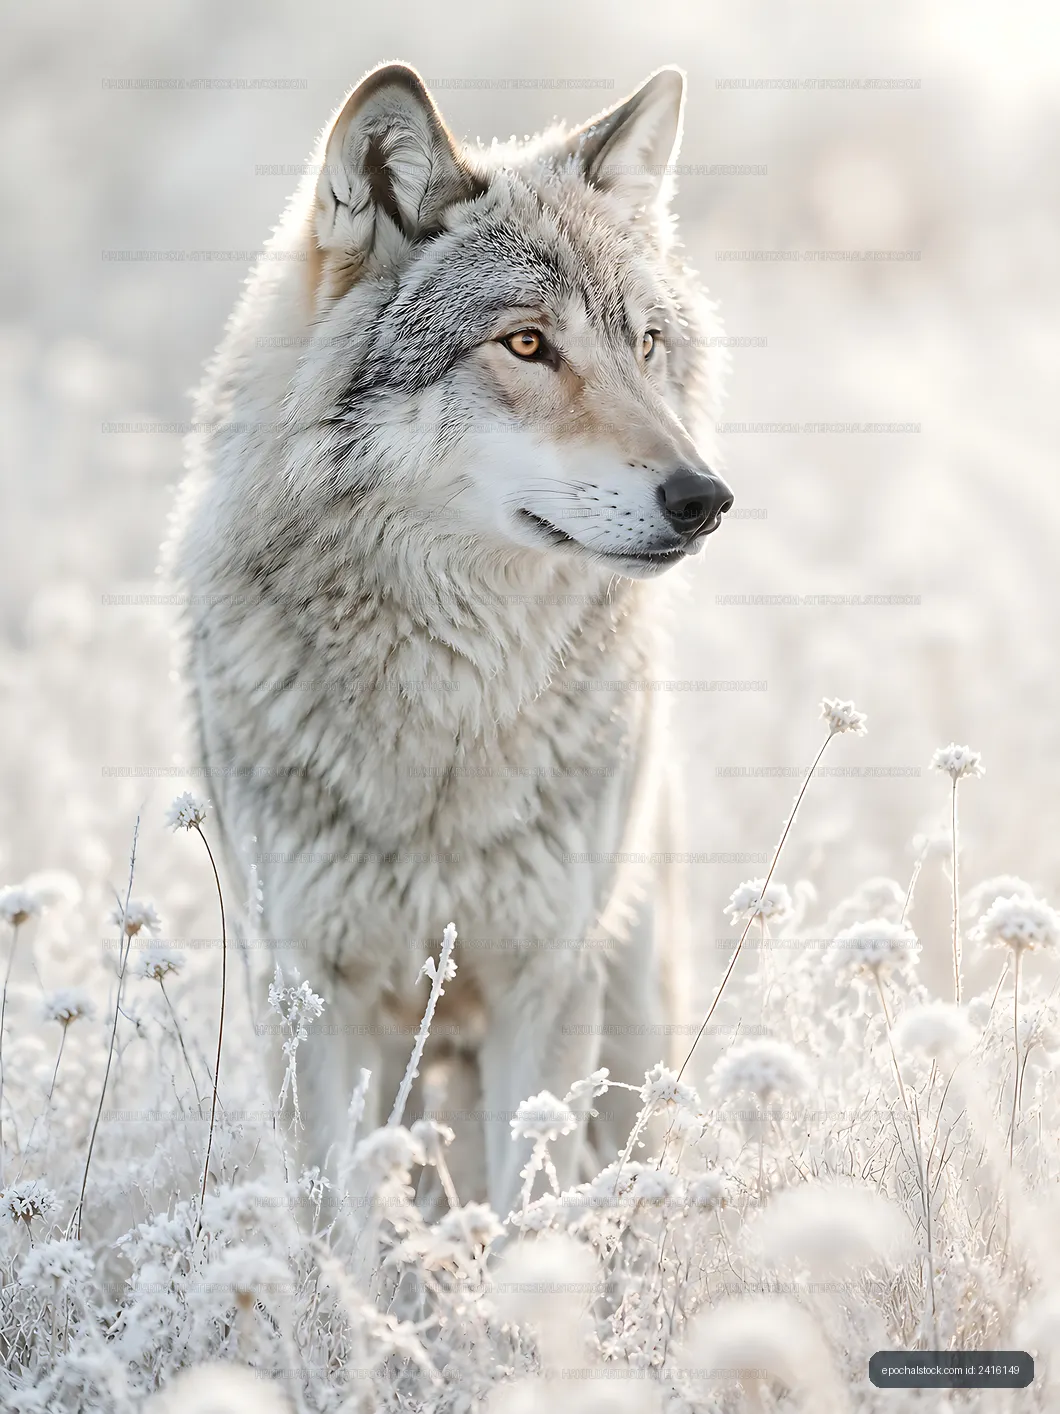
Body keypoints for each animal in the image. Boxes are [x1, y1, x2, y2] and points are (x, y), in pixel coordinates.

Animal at [167, 61, 732, 1218]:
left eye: (646, 344)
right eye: (526, 343)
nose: (704, 499)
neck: (451, 708)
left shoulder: (543, 986)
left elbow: (532, 1219)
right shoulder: (311, 998)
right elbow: (338, 1235)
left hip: (627, 1009)